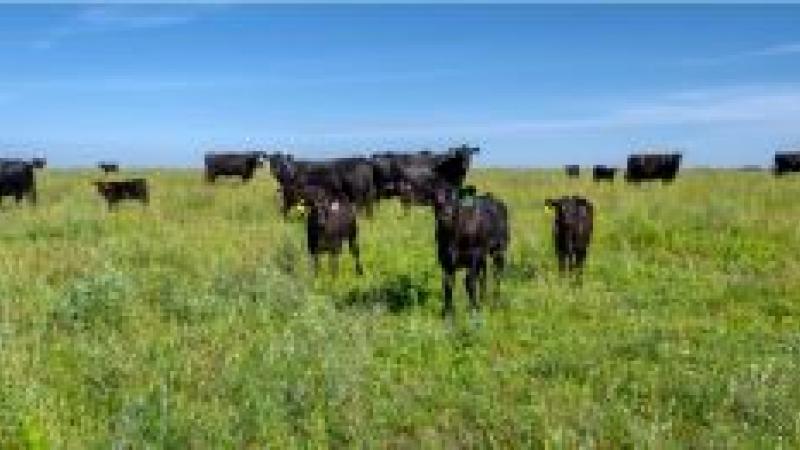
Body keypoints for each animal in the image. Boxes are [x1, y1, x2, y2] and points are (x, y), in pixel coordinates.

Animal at [432, 183, 506, 316]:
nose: (446, 215)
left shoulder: (474, 255)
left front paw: (474, 309)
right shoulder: (445, 258)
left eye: (456, 199)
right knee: (483, 274)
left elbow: (469, 281)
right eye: (436, 200)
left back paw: (495, 302)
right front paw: (448, 313)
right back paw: (483, 299)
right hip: (483, 255)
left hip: (499, 250)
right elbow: (448, 283)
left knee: (497, 273)